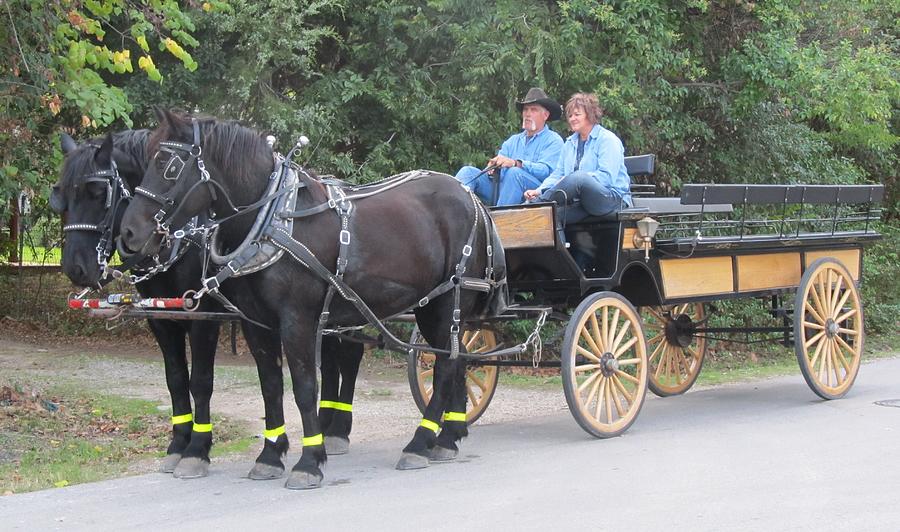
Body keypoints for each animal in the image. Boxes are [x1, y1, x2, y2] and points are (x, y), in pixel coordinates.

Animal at [49, 131, 364, 480]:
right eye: (60, 196)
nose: (75, 268)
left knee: (349, 359)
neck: (181, 238)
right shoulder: (162, 320)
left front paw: (196, 450)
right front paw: (177, 445)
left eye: (98, 193)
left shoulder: (202, 316)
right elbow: (175, 381)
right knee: (333, 360)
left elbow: (200, 381)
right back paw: (327, 425)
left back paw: (337, 430)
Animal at [118, 109, 506, 490]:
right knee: (458, 361)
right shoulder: (255, 323)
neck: (271, 219)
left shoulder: (297, 320)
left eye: (169, 165)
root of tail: (471, 197)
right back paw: (447, 438)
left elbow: (305, 387)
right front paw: (270, 456)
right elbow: (271, 387)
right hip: (436, 307)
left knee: (445, 368)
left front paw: (309, 461)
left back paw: (420, 443)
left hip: (447, 302)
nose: (129, 235)